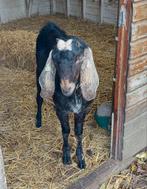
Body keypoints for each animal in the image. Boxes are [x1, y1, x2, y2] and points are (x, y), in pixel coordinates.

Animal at [35, 21, 99, 168]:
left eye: (79, 58)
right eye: (54, 59)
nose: (66, 87)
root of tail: (49, 24)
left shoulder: (82, 110)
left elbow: (78, 132)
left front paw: (80, 158)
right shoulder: (61, 109)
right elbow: (65, 131)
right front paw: (66, 156)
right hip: (38, 73)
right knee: (39, 98)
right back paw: (38, 120)